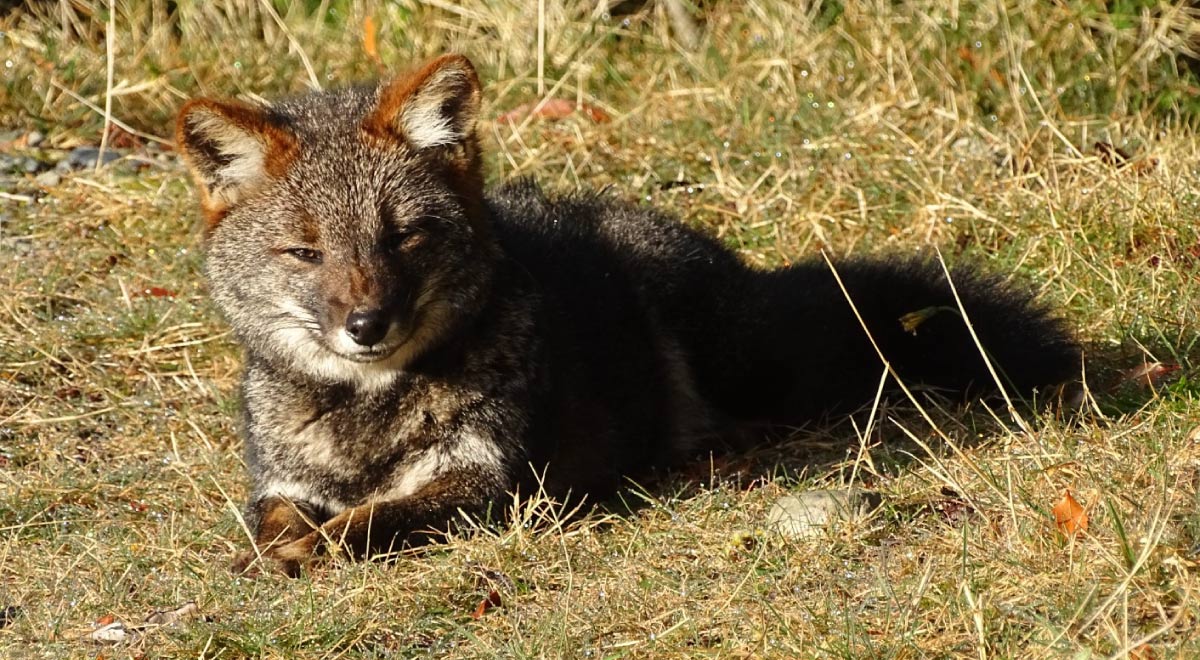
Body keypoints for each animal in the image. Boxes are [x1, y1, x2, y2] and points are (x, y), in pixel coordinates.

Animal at [175, 54, 1080, 576]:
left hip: (725, 353)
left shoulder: (490, 483)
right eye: (306, 253)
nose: (368, 326)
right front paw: (278, 546)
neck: (365, 420)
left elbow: (372, 522)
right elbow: (272, 517)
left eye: (402, 238)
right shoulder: (282, 481)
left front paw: (320, 545)